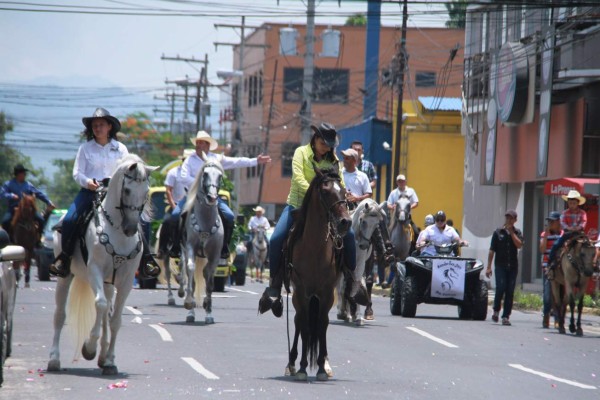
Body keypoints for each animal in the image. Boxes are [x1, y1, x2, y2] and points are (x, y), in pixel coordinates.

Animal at [47, 154, 157, 376]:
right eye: (127, 190)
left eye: (146, 191)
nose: (131, 228)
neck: (116, 229)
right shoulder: (94, 271)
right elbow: (100, 305)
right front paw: (89, 347)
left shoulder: (125, 280)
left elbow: (115, 319)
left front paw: (110, 360)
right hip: (66, 276)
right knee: (60, 314)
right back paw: (54, 359)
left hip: (108, 282)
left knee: (106, 314)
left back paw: (104, 358)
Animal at [284, 168, 352, 382]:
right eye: (325, 191)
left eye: (344, 192)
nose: (346, 222)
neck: (314, 247)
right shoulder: (302, 292)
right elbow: (306, 327)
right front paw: (303, 368)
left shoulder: (326, 293)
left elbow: (322, 325)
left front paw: (322, 367)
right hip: (298, 297)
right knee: (299, 321)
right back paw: (292, 363)